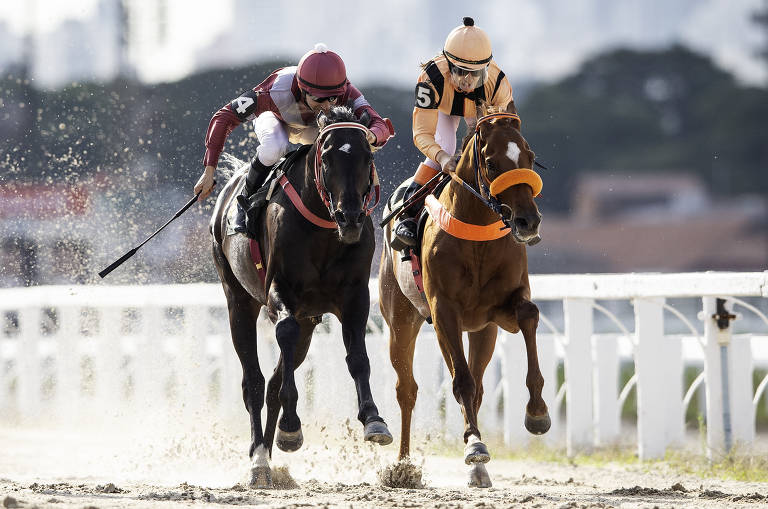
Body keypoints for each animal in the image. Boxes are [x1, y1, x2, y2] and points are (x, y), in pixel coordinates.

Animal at [210, 106, 392, 488]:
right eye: (326, 158)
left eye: (367, 156)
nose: (350, 217)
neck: (324, 230)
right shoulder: (280, 293)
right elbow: (284, 334)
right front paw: (292, 428)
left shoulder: (354, 296)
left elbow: (358, 357)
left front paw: (373, 419)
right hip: (238, 300)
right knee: (254, 381)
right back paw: (258, 459)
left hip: (310, 320)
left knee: (274, 378)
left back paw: (269, 453)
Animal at [378, 105, 550, 488]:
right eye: (491, 162)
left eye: (530, 157)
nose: (528, 222)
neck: (477, 236)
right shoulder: (444, 311)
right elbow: (461, 382)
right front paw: (474, 445)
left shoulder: (499, 310)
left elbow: (529, 314)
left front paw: (537, 412)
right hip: (401, 320)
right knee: (407, 389)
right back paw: (404, 464)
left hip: (482, 332)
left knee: (479, 382)